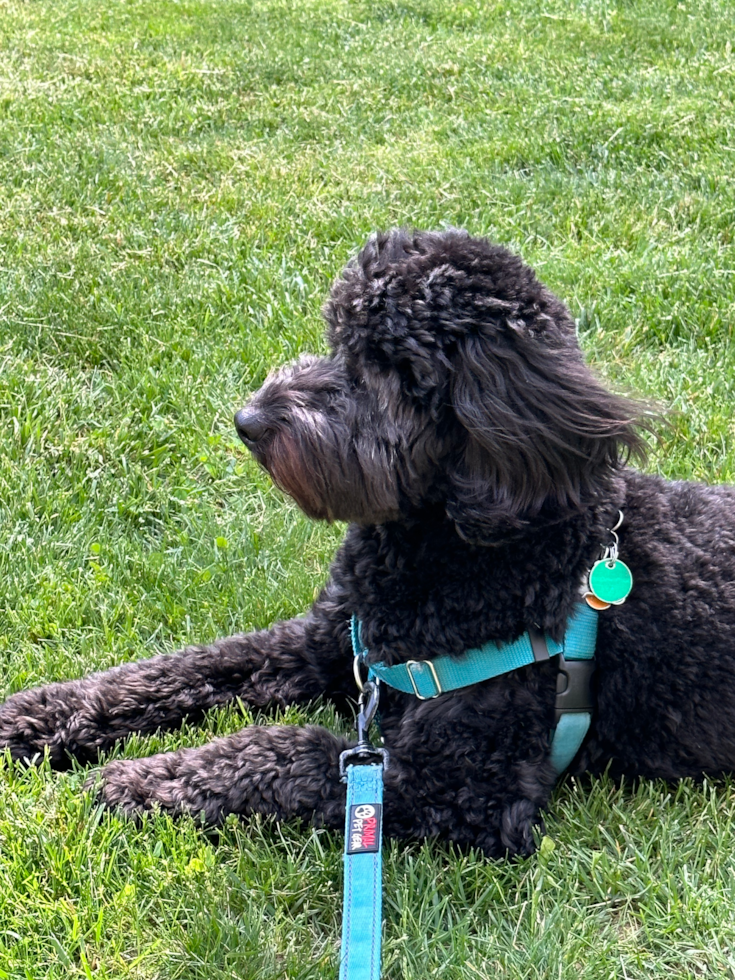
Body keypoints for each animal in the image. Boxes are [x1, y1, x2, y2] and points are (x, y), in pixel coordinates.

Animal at [1, 232, 735, 856]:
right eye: (338, 341)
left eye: (390, 367)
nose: (248, 421)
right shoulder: (321, 642)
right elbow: (181, 669)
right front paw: (29, 717)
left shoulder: (461, 784)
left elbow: (289, 752)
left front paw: (148, 779)